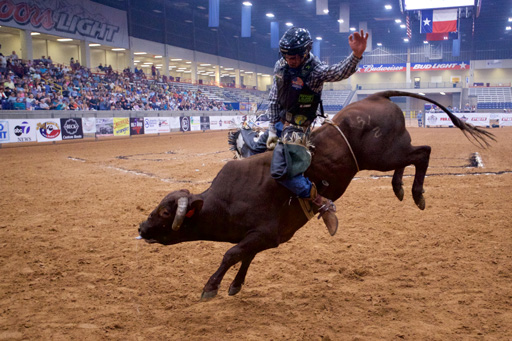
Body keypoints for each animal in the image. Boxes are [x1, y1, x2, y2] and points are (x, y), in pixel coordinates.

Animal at [138, 91, 494, 300]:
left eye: (166, 212)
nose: (141, 227)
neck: (224, 200)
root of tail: (376, 96)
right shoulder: (265, 237)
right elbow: (244, 257)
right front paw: (235, 285)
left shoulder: (262, 233)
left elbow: (231, 255)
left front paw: (210, 287)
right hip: (387, 154)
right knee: (413, 157)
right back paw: (398, 187)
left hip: (383, 153)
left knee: (423, 152)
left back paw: (416, 193)